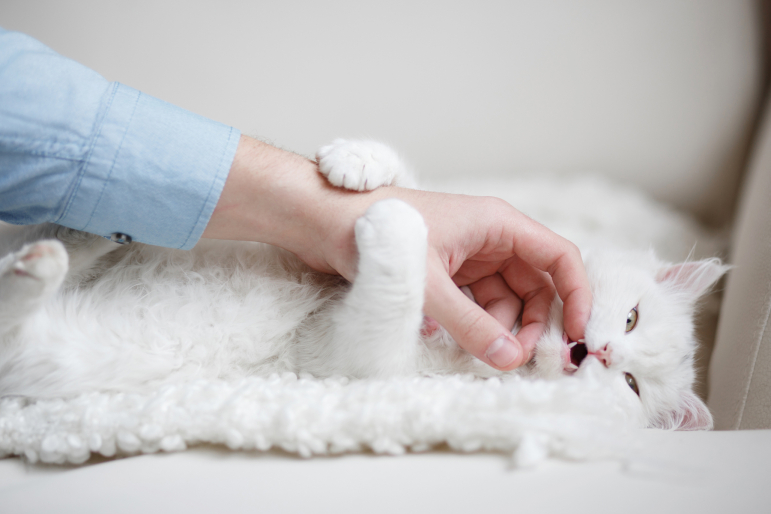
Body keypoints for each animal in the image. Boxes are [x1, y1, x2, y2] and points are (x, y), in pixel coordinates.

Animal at [0, 138, 724, 430]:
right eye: (630, 318)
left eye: (630, 386)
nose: (598, 351)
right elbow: (414, 184)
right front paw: (360, 163)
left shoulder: (354, 364)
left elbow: (396, 293)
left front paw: (398, 225)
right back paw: (84, 221)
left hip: (72, 357)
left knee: (17, 321)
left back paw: (50, 258)